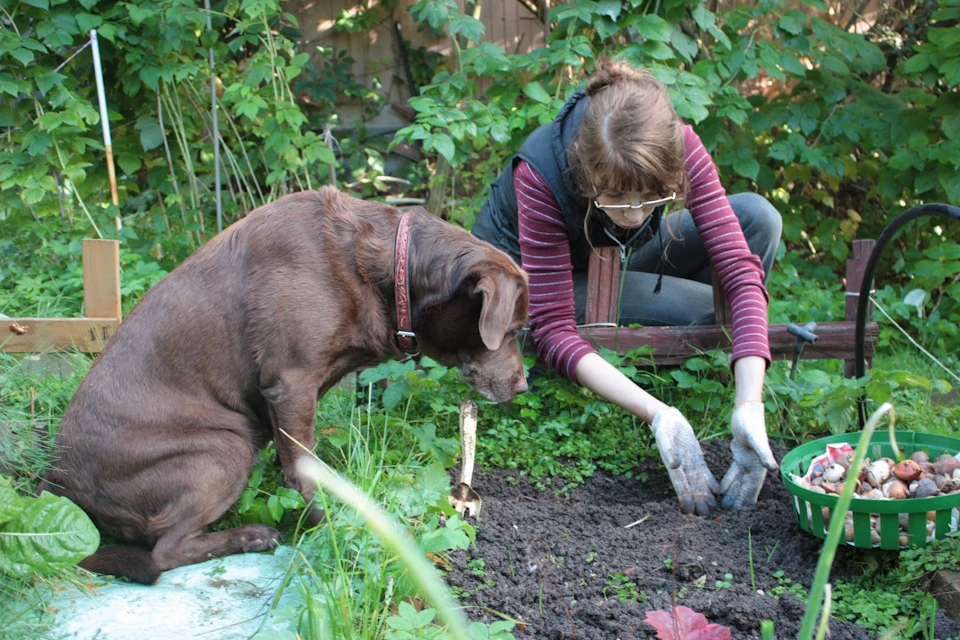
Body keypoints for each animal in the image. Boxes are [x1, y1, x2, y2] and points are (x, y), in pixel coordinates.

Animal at [37, 186, 528, 584]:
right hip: (225, 448)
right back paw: (249, 537)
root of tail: (58, 484)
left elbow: (293, 453)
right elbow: (305, 469)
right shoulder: (291, 382)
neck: (387, 267)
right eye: (511, 330)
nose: (523, 387)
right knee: (163, 552)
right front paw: (334, 525)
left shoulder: (299, 390)